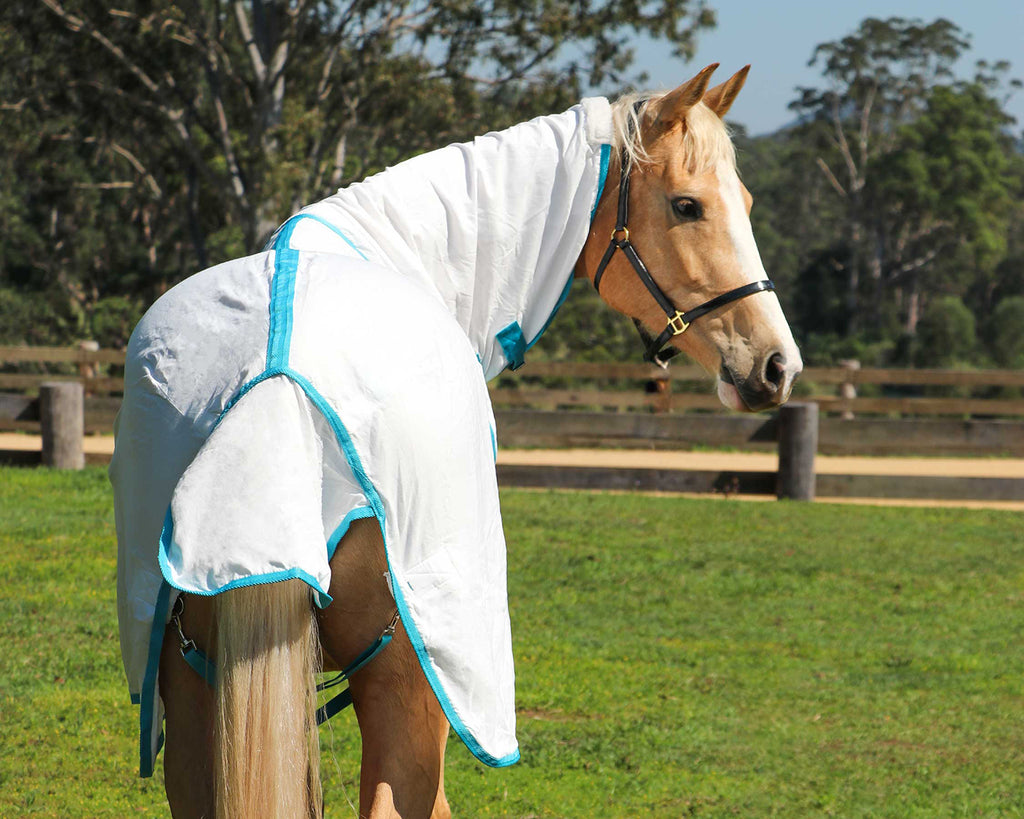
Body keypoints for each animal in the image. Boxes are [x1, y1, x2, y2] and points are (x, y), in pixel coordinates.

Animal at [110, 65, 798, 818]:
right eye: (687, 205)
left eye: (747, 202)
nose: (776, 366)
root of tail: (278, 370)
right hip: (417, 683)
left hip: (192, 684)